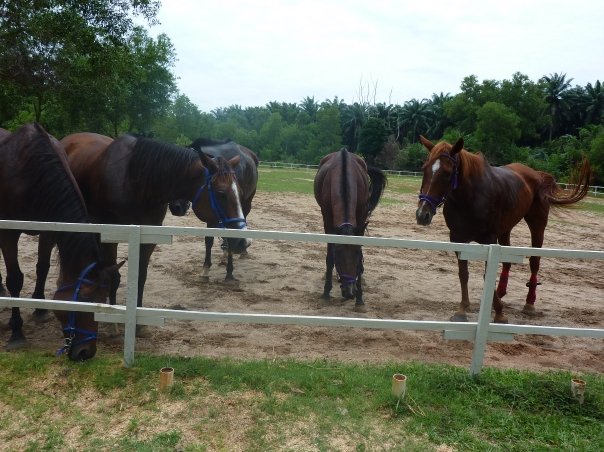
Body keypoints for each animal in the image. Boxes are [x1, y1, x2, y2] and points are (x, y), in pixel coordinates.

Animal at [0, 123, 117, 360]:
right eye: (84, 302)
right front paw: (17, 332)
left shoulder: (49, 229)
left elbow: (42, 267)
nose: (85, 352)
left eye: (102, 301)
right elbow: (15, 279)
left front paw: (39, 308)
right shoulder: (8, 233)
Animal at [186, 136, 258, 280]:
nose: (178, 207)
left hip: (247, 204)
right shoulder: (213, 214)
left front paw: (229, 271)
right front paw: (206, 268)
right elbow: (209, 240)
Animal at [314, 148, 390, 310]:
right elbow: (329, 257)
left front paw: (360, 298)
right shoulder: (327, 220)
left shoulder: (361, 215)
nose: (349, 292)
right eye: (338, 256)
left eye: (356, 255)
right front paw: (326, 292)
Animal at [416, 136, 588, 324]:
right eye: (424, 169)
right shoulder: (457, 239)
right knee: (507, 261)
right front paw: (462, 309)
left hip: (537, 224)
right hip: (506, 229)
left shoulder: (489, 239)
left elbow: (487, 274)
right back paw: (499, 293)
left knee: (534, 262)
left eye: (447, 172)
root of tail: (537, 175)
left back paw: (529, 303)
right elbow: (463, 273)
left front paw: (499, 313)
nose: (422, 214)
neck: (469, 197)